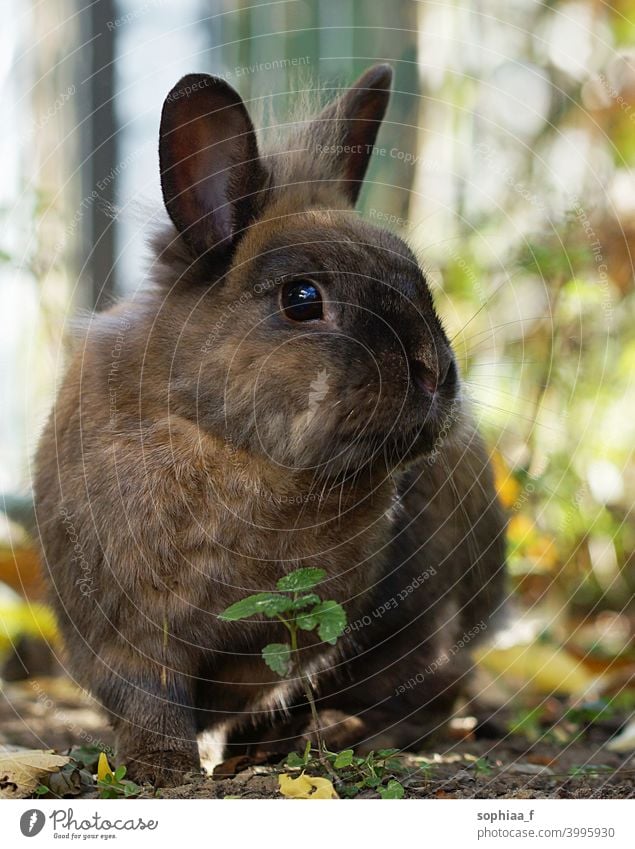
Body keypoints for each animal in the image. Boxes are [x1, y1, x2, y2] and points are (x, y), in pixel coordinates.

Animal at [37, 63, 510, 784]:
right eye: (302, 298)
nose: (435, 373)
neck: (231, 448)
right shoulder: (127, 637)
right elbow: (149, 701)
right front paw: (162, 767)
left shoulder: (291, 638)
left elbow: (268, 686)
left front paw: (248, 751)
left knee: (431, 693)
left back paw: (337, 732)